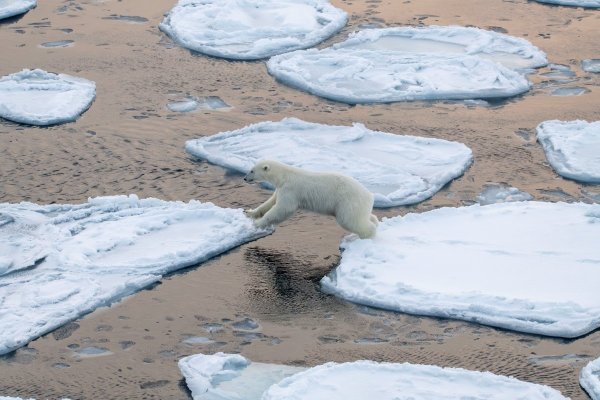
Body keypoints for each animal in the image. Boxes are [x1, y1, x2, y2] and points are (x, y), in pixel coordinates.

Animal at [243, 159, 376, 239]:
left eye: (252, 171)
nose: (245, 178)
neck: (284, 176)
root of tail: (369, 196)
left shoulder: (290, 190)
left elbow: (283, 208)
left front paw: (258, 223)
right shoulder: (281, 189)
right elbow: (270, 202)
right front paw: (249, 212)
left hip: (348, 201)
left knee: (349, 220)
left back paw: (368, 235)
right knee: (364, 216)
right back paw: (374, 220)